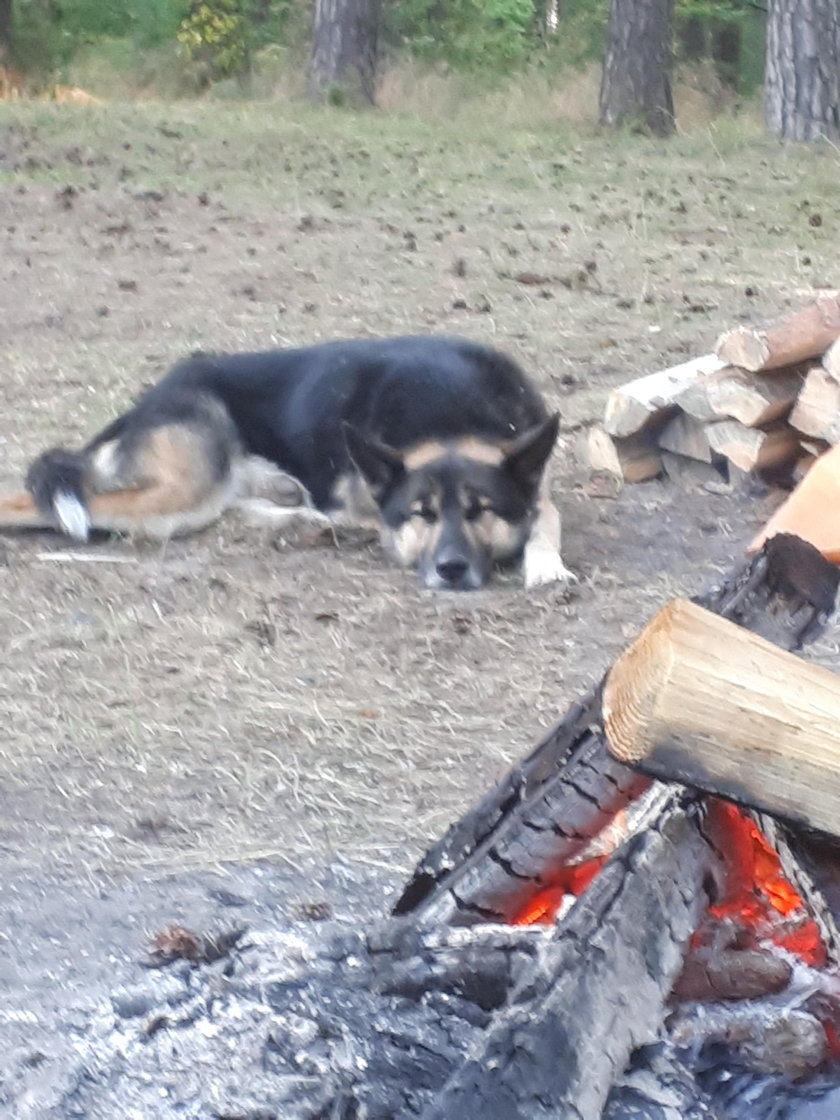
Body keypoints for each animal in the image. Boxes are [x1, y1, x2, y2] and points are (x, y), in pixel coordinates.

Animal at [0, 333, 577, 591]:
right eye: (422, 514)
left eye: (482, 511)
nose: (451, 570)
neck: (450, 417)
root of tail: (145, 404)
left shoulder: (537, 485)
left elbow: (549, 517)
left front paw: (545, 562)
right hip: (186, 489)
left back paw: (297, 518)